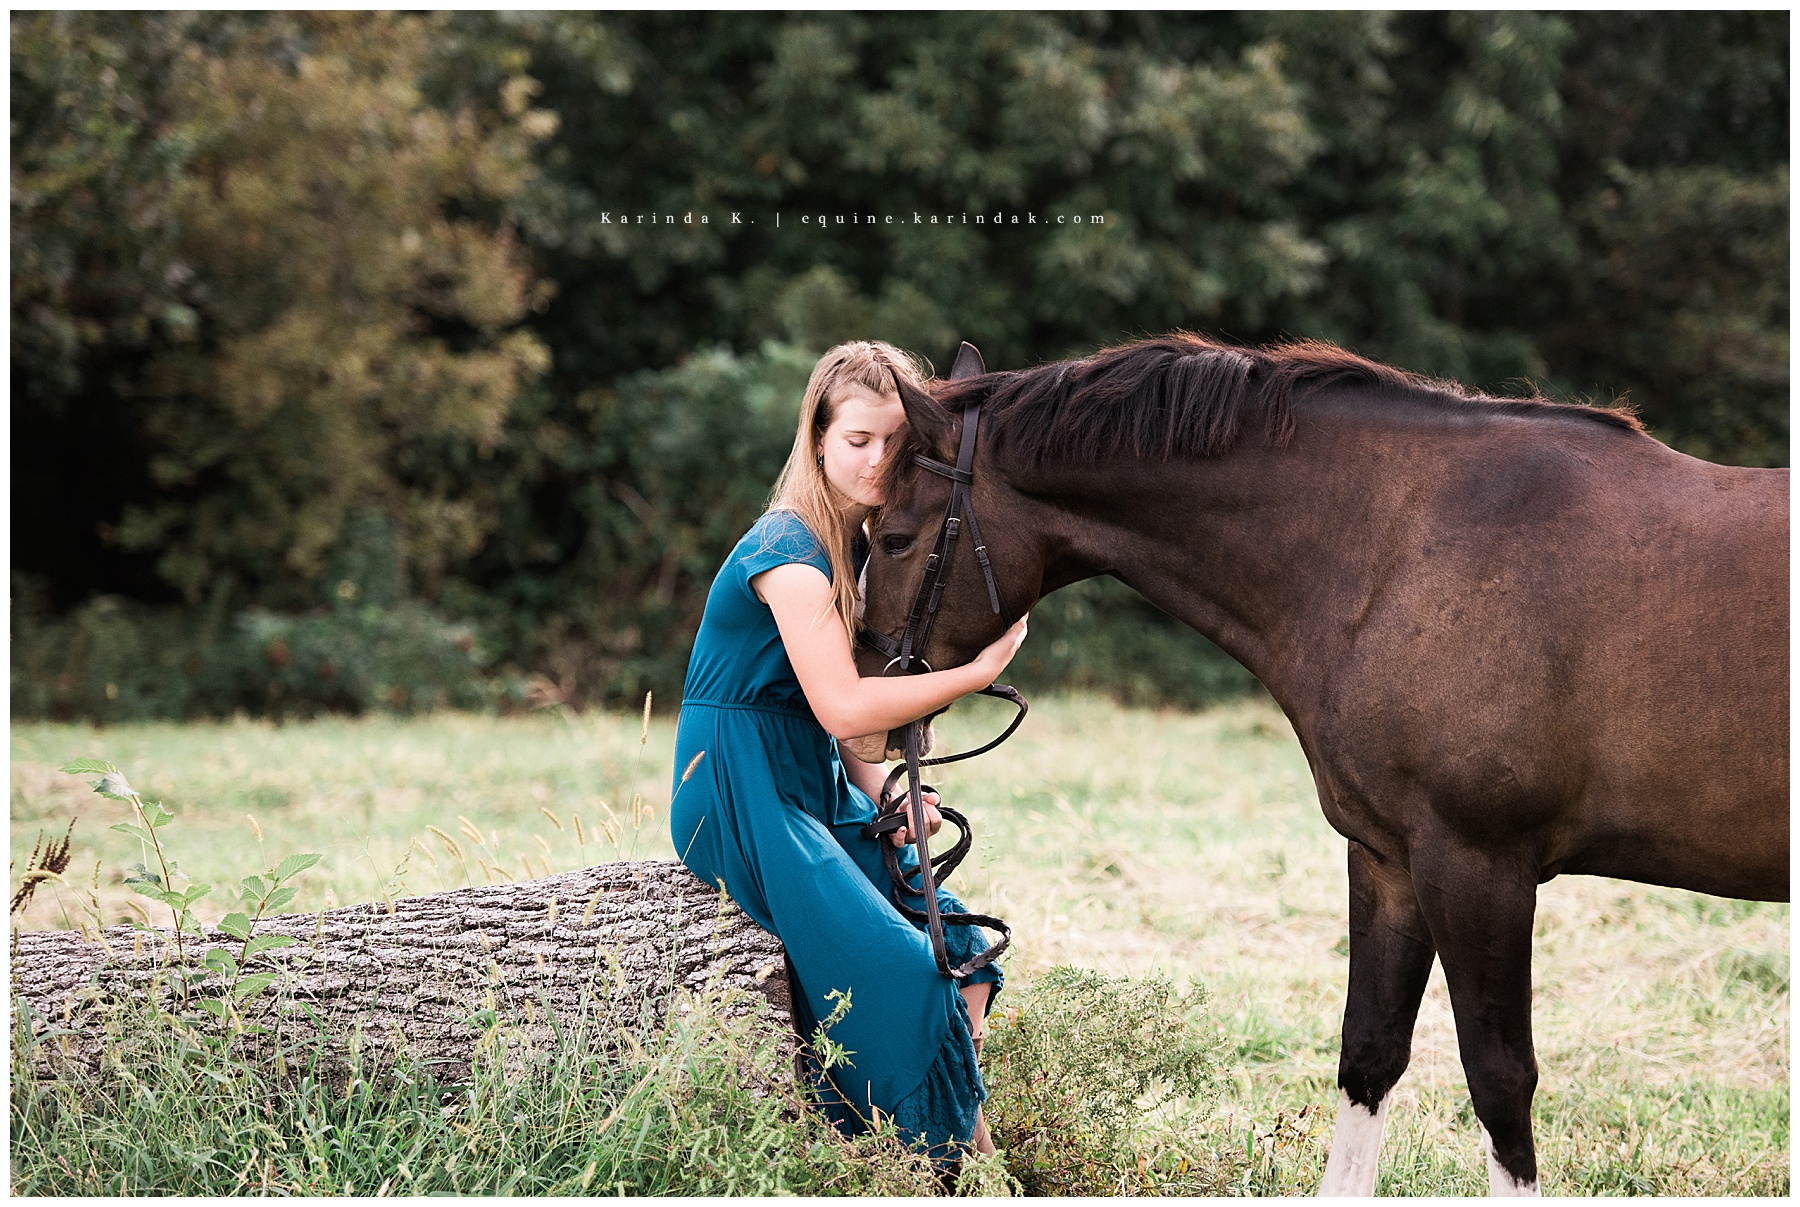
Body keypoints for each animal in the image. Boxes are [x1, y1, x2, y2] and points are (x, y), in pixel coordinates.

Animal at [854, 334, 1788, 1196]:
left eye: (894, 538)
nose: (858, 694)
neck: (1401, 551)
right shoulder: (1390, 860)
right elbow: (1370, 1052)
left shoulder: (1479, 864)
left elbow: (1499, 1077)